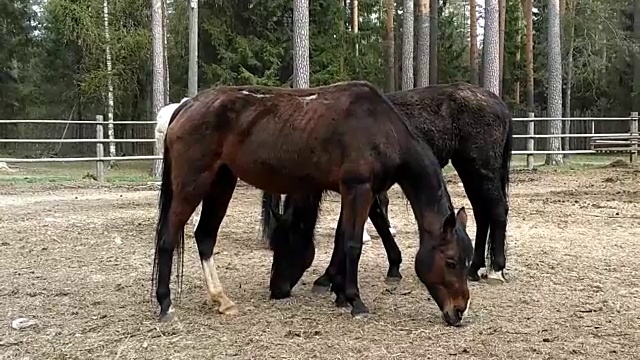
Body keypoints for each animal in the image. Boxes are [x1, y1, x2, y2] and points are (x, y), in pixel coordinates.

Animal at [150, 80, 470, 324]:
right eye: (451, 261)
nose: (458, 310)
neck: (380, 126)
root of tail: (187, 106)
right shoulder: (358, 189)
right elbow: (353, 243)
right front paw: (355, 301)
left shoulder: (354, 193)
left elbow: (343, 238)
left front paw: (339, 293)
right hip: (193, 184)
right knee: (167, 238)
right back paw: (166, 305)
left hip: (221, 183)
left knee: (205, 236)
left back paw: (222, 300)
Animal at [262, 81, 512, 286]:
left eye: (285, 244)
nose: (277, 288)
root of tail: (500, 104)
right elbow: (374, 223)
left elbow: (353, 229)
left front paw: (328, 277)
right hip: (469, 169)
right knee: (482, 213)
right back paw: (474, 268)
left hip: (481, 168)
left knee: (497, 210)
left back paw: (496, 269)